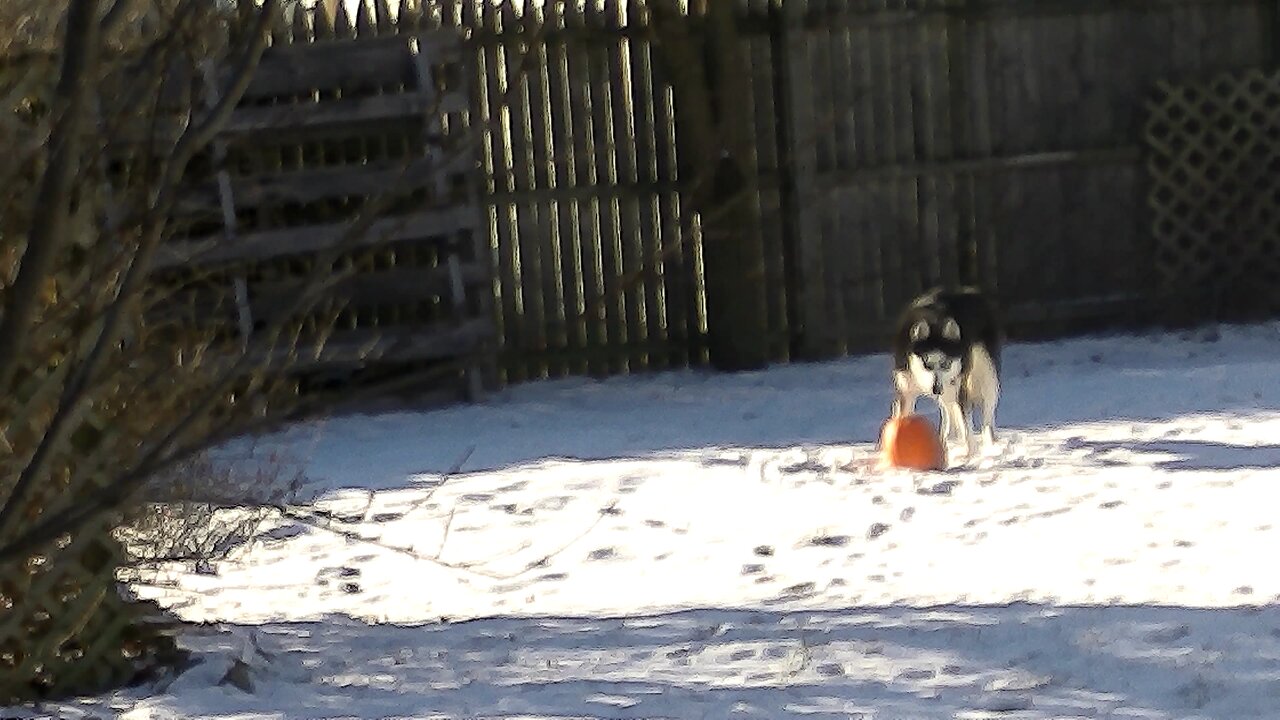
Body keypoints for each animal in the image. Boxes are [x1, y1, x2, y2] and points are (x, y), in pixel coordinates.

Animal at [890, 284, 998, 456]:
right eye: (927, 364)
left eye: (946, 363)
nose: (936, 389)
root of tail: (969, 290)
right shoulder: (906, 387)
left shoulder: (959, 385)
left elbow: (966, 421)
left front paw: (971, 454)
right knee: (949, 408)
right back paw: (947, 436)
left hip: (984, 370)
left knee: (988, 403)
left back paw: (989, 439)